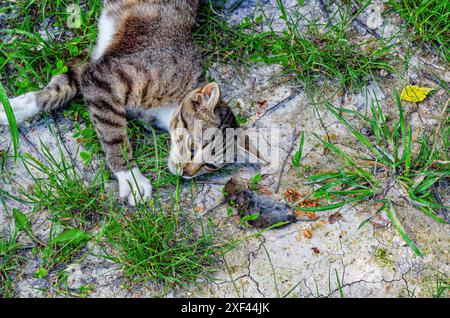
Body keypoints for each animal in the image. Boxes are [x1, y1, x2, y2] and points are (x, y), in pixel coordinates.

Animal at [0, 0, 266, 206]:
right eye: (192, 147)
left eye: (209, 165)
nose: (187, 173)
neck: (166, 107)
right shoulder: (106, 77)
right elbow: (113, 135)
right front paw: (131, 177)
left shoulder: (93, 66)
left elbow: (61, 87)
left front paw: (13, 108)